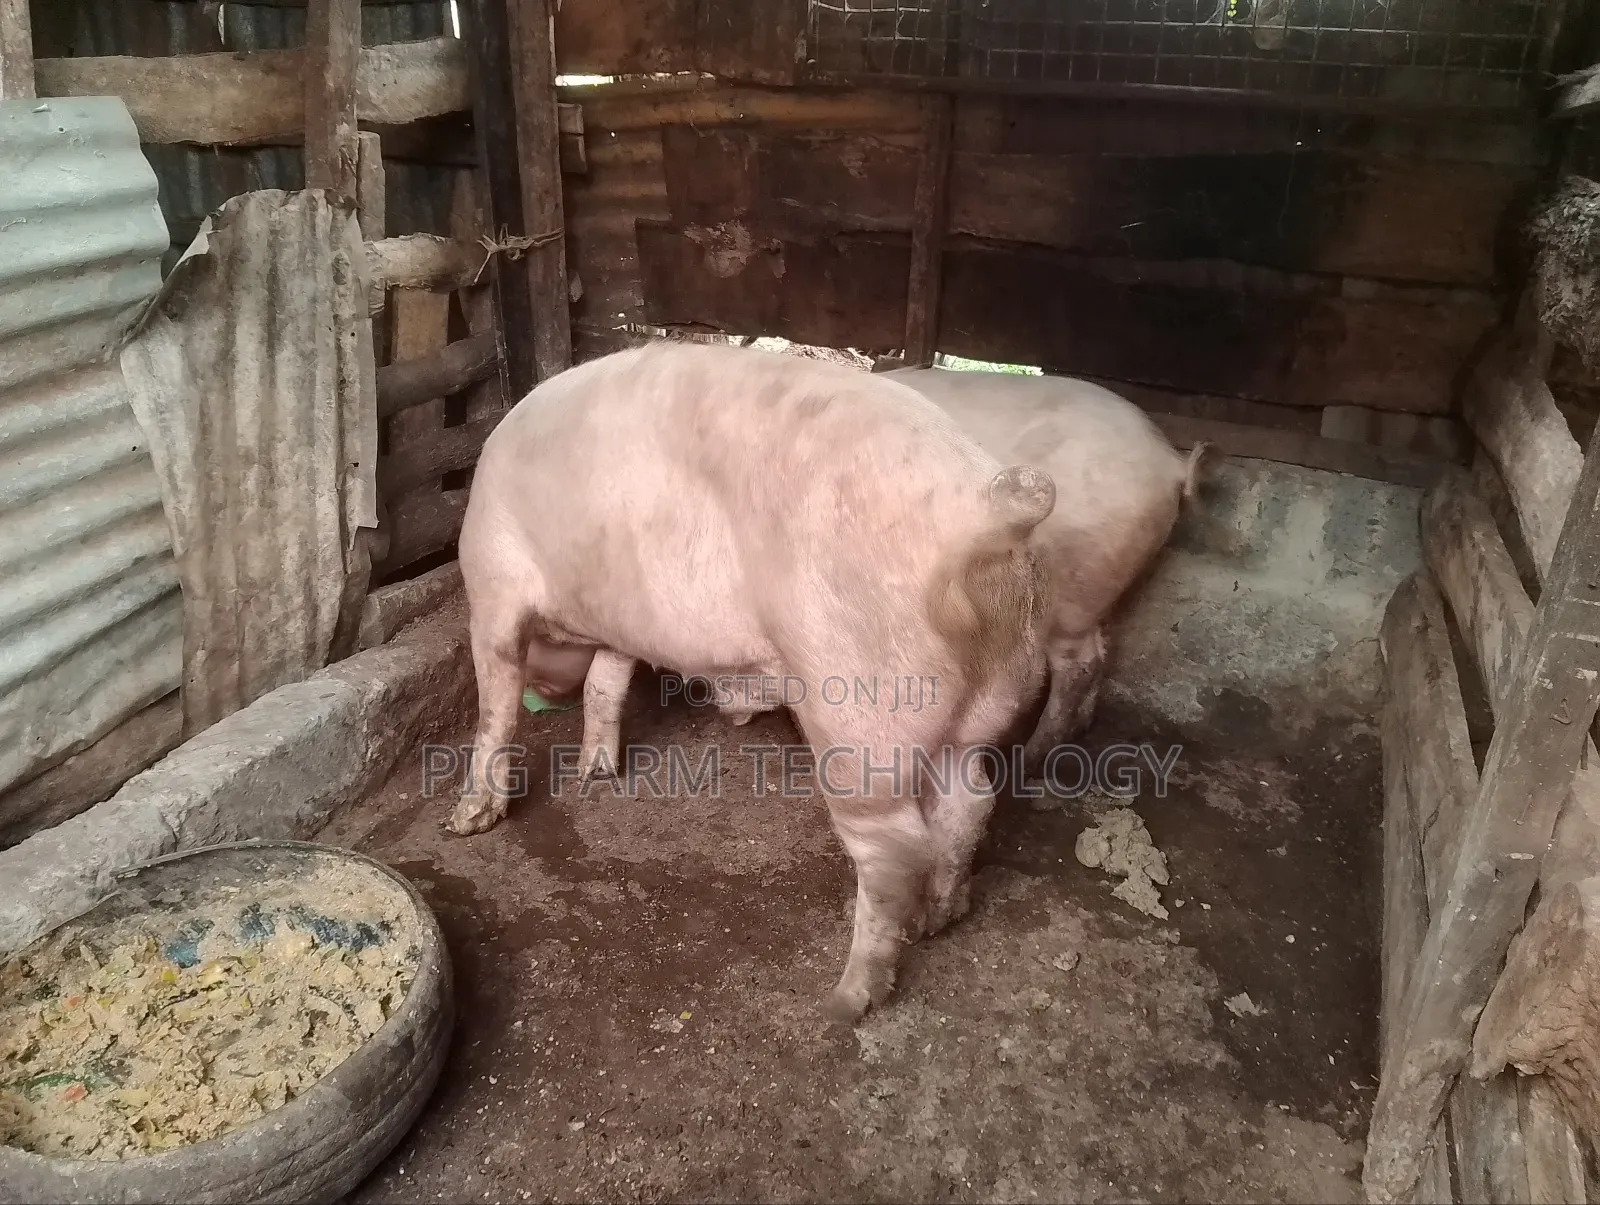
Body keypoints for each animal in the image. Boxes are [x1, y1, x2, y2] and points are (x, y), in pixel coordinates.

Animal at [448, 341, 1057, 1021]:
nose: (546, 691)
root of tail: (985, 510)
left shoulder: (492, 582)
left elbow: (494, 703)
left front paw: (466, 821)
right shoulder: (621, 623)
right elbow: (605, 682)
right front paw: (594, 773)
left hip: (858, 714)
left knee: (895, 853)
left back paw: (845, 1000)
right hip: (992, 695)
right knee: (970, 802)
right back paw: (938, 921)